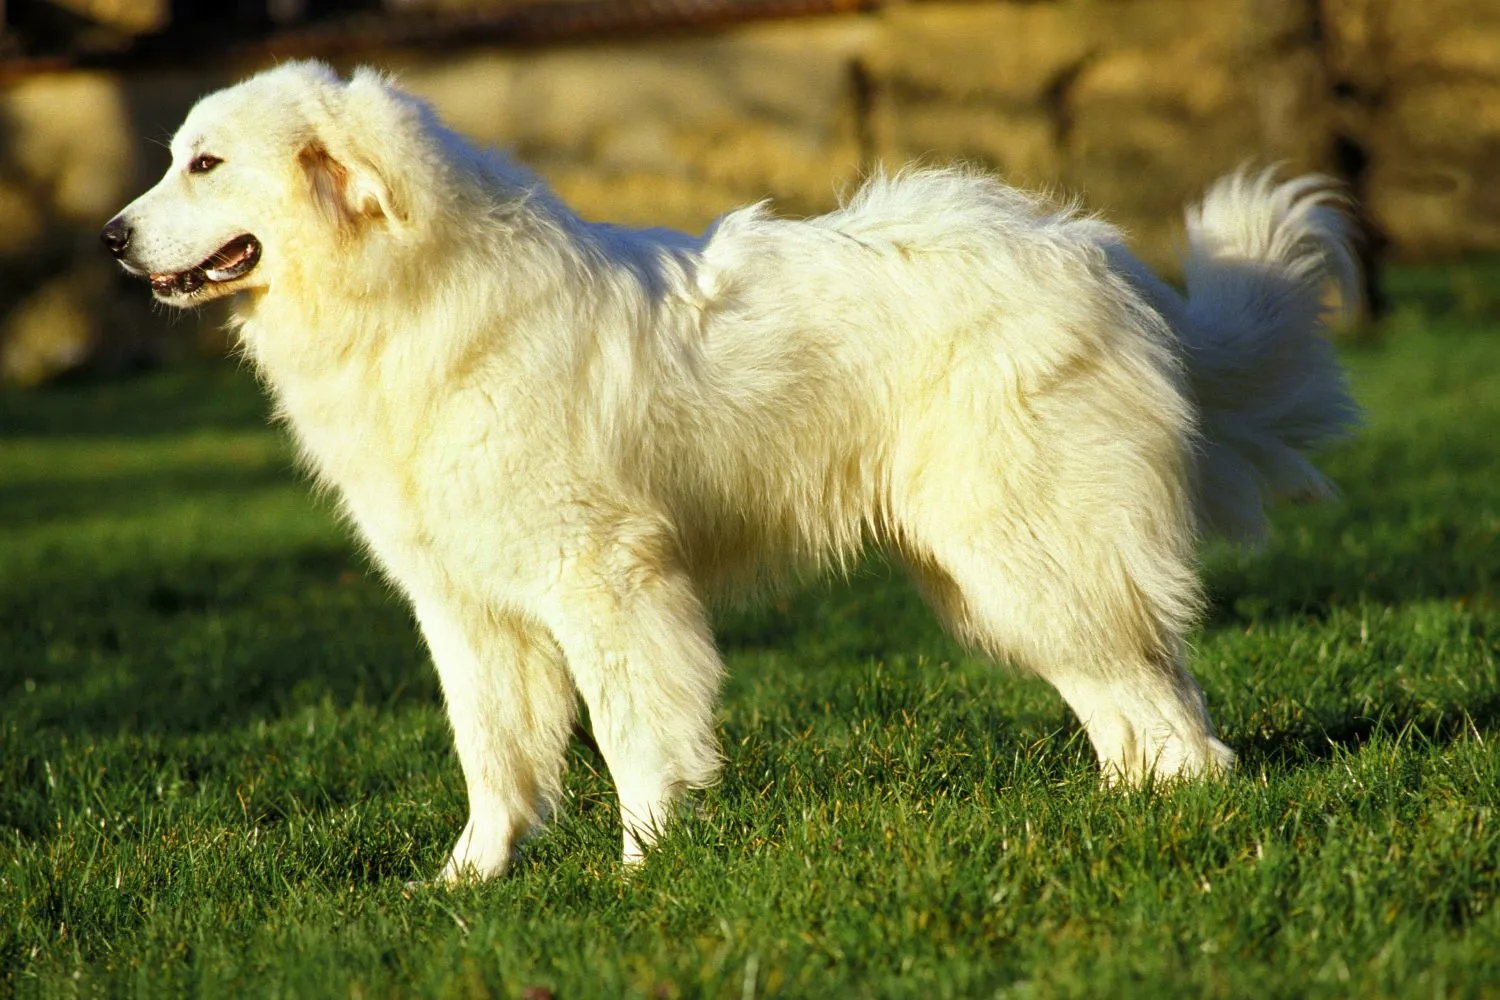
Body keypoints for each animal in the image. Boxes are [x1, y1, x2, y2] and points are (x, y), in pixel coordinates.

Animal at [99, 62, 1356, 881]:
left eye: (204, 163)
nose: (109, 238)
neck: (407, 292)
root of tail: (1100, 256)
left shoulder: (606, 581)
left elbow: (633, 733)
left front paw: (642, 870)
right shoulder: (466, 606)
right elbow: (492, 757)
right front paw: (466, 884)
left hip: (1019, 549)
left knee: (1165, 707)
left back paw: (1169, 819)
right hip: (1004, 568)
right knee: (1138, 687)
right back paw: (1125, 808)